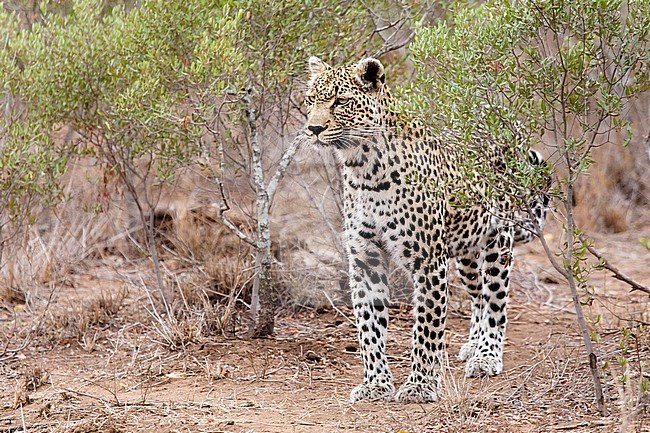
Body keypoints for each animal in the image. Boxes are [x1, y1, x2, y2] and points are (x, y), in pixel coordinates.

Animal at [302, 55, 548, 404]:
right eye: (311, 100)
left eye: (341, 101)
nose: (314, 129)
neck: (363, 169)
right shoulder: (365, 258)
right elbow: (369, 325)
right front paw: (376, 384)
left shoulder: (427, 260)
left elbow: (427, 327)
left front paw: (420, 386)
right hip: (466, 255)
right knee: (478, 297)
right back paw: (473, 345)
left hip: (497, 244)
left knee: (495, 301)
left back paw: (486, 356)